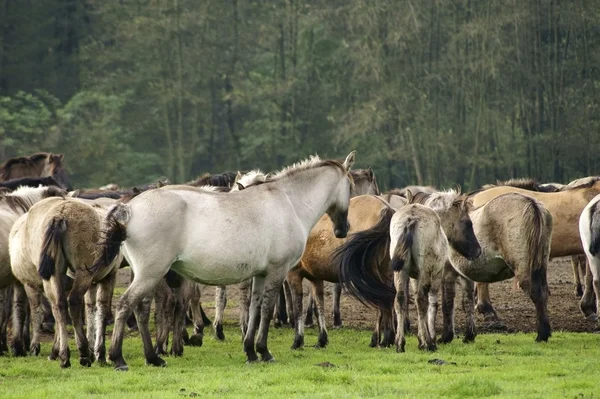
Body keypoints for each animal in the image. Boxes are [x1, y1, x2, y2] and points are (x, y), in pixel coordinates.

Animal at [8, 195, 121, 368]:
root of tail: (59, 216)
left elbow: (88, 310)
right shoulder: (107, 277)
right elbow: (99, 309)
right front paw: (99, 353)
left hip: (54, 276)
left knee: (59, 306)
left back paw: (63, 355)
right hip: (82, 273)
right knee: (71, 303)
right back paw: (82, 354)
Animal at [94, 153, 356, 372]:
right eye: (352, 186)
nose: (343, 229)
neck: (289, 202)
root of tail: (129, 208)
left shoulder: (260, 274)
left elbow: (254, 308)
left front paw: (250, 351)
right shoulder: (276, 272)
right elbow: (267, 310)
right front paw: (264, 351)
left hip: (148, 275)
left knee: (141, 309)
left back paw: (153, 358)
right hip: (151, 274)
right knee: (125, 305)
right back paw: (118, 358)